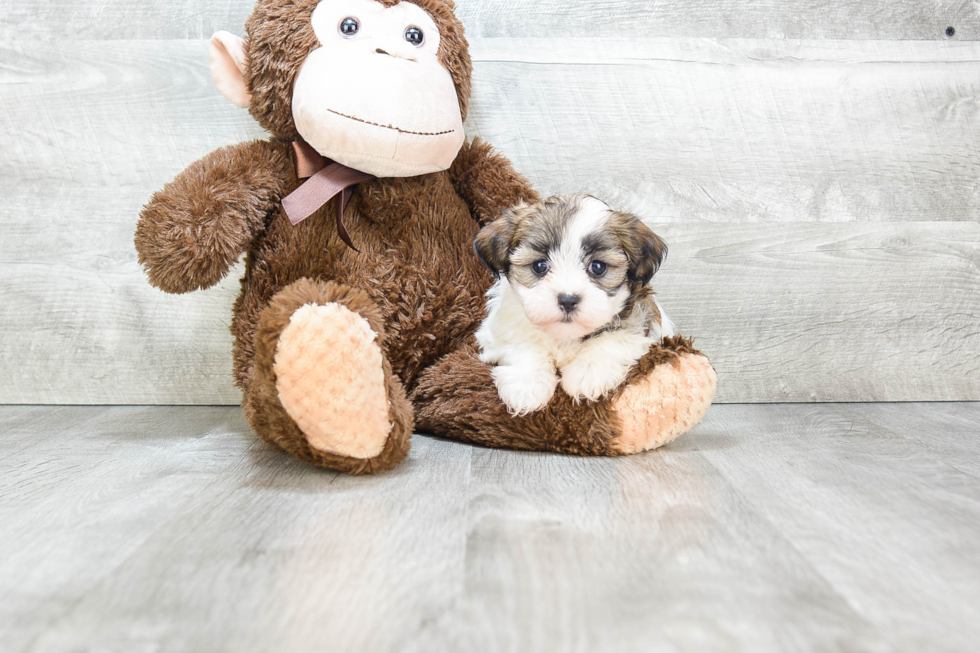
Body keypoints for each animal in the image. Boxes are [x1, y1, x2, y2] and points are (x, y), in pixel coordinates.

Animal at [472, 192, 672, 412]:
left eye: (598, 267)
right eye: (539, 266)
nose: (567, 300)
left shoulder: (642, 319)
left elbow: (613, 338)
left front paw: (588, 373)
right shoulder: (497, 329)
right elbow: (522, 344)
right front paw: (527, 385)